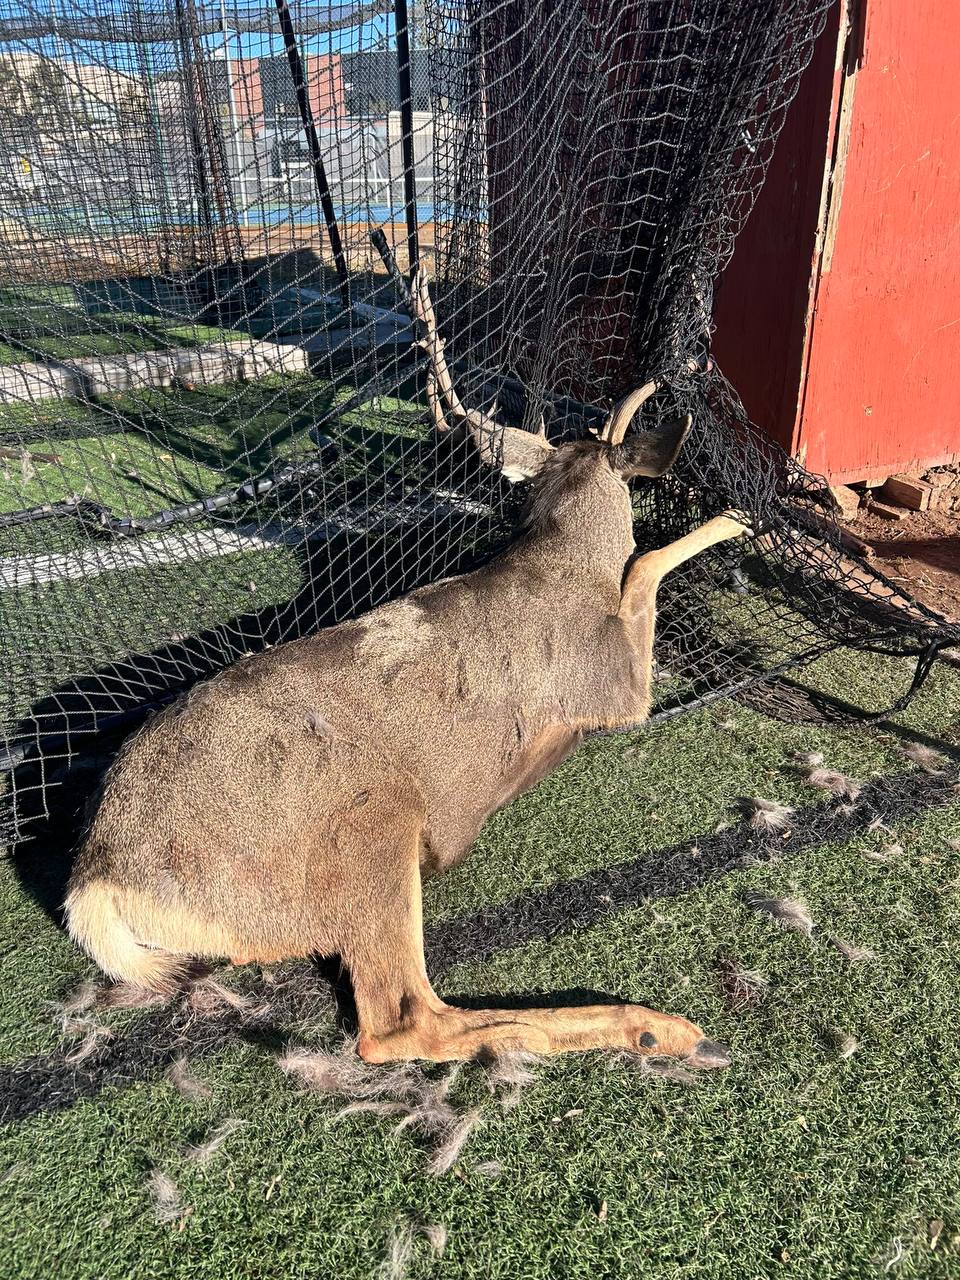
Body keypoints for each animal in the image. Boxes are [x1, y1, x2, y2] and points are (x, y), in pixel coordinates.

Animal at [67, 272, 757, 1070]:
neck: (557, 558)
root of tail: (97, 878)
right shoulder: (609, 683)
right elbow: (643, 564)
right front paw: (734, 517)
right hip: (373, 825)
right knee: (399, 1020)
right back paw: (635, 1027)